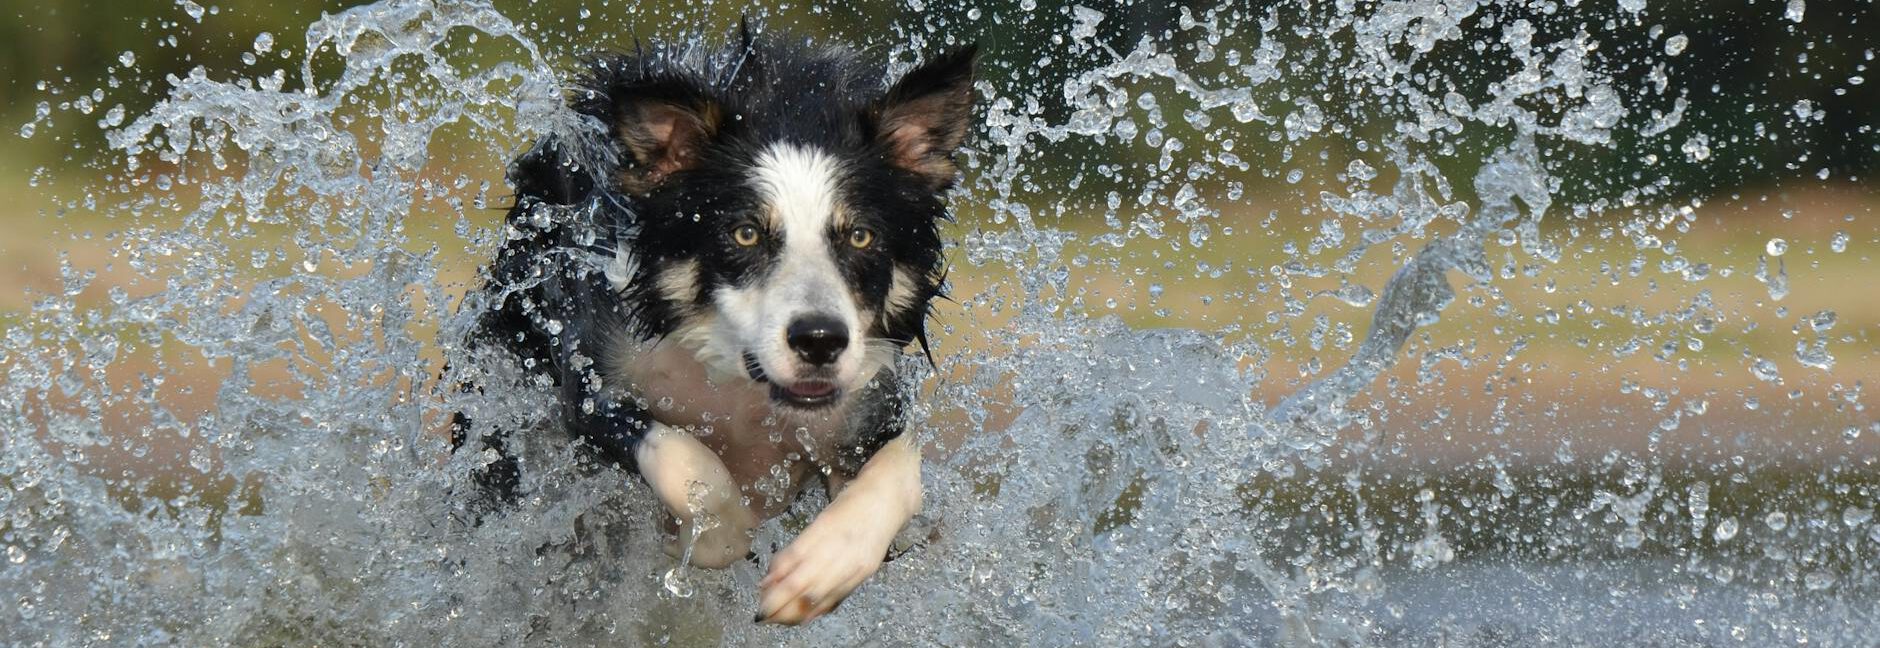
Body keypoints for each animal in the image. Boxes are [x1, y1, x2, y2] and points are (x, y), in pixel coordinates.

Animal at [453, 26, 977, 627]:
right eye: (745, 233)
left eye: (861, 236)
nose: (819, 341)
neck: (738, 384)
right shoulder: (591, 379)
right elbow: (684, 458)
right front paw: (715, 535)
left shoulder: (867, 403)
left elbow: (901, 471)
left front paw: (820, 569)